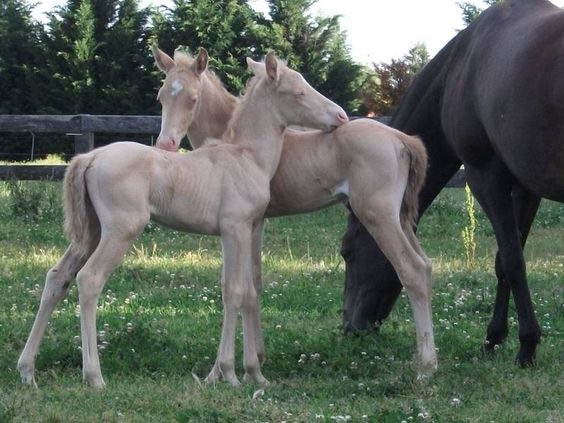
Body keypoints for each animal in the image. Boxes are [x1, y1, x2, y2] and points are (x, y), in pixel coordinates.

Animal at [18, 51, 348, 390]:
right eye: (299, 92)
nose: (340, 116)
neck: (246, 155)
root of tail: (90, 157)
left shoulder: (248, 228)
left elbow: (246, 290)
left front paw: (251, 373)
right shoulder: (234, 228)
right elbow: (234, 290)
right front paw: (228, 373)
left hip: (92, 231)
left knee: (58, 277)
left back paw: (27, 370)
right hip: (121, 230)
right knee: (89, 279)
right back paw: (94, 376)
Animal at [153, 48, 436, 376]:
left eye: (193, 98)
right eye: (161, 96)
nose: (166, 144)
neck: (238, 139)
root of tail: (402, 139)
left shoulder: (254, 221)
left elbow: (251, 283)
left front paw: (252, 360)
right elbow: (255, 282)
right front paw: (257, 356)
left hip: (378, 215)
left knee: (411, 269)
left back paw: (427, 365)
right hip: (401, 217)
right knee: (425, 266)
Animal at [342, 0, 560, 366]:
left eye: (346, 252)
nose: (349, 327)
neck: (462, 67)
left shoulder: (485, 176)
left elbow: (511, 260)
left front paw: (526, 345)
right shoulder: (525, 188)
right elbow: (506, 261)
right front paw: (494, 338)